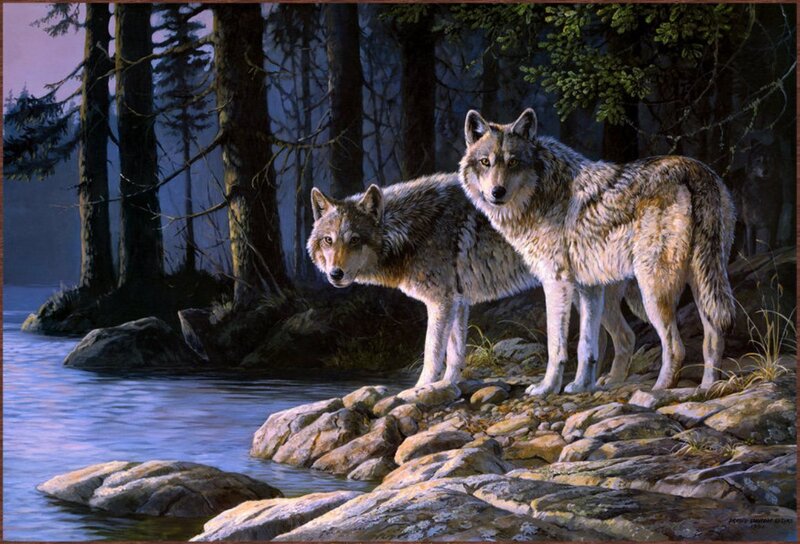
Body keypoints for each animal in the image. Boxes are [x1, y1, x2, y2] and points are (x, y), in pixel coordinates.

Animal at [308, 173, 641, 387]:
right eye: (328, 240)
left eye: (354, 240)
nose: (335, 274)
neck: (409, 229)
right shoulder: (457, 302)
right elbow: (455, 354)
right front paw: (446, 387)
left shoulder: (440, 302)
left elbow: (432, 353)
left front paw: (417, 391)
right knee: (617, 339)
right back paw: (601, 384)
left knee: (621, 338)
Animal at [459, 108, 736, 395]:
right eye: (485, 162)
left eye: (512, 162)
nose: (497, 192)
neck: (541, 191)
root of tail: (695, 169)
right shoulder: (588, 287)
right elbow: (588, 345)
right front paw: (580, 385)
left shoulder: (556, 283)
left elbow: (556, 346)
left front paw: (547, 388)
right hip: (701, 283)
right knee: (709, 337)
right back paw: (706, 387)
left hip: (653, 290)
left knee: (675, 346)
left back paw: (657, 389)